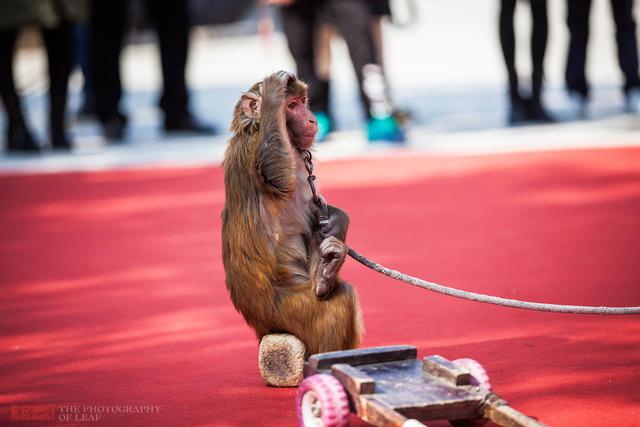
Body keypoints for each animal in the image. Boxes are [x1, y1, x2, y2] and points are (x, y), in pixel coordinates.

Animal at [221, 71, 362, 358]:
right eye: (292, 106)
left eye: (303, 101)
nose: (312, 118)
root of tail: (261, 329)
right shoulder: (254, 144)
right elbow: (275, 171)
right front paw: (273, 93)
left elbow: (321, 213)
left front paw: (334, 220)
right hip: (287, 311)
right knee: (339, 303)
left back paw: (328, 270)